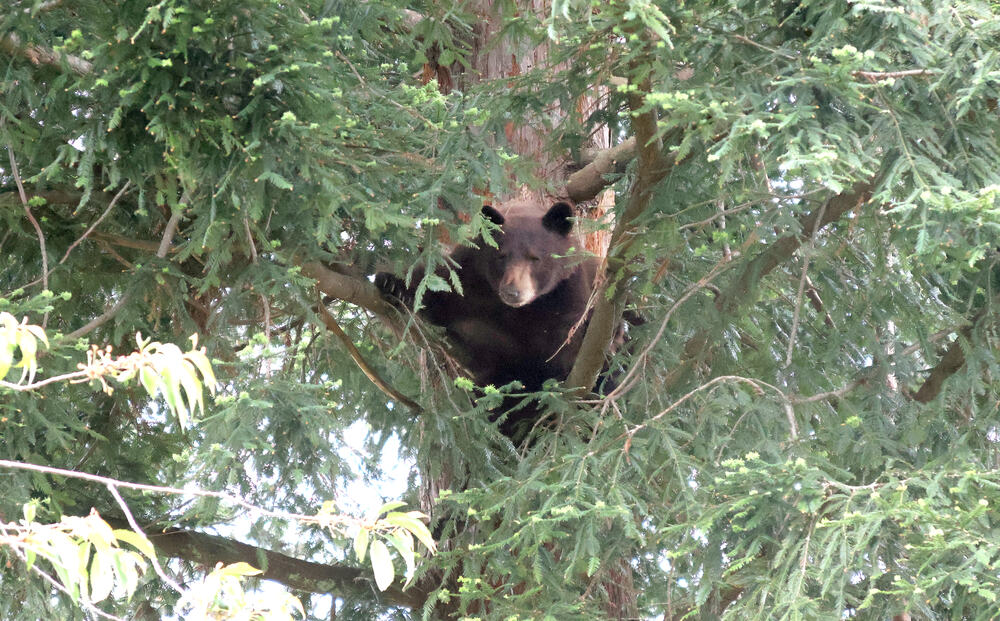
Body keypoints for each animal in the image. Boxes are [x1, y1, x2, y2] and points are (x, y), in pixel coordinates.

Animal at [374, 202, 592, 436]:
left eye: (535, 258)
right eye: (501, 256)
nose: (512, 292)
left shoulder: (567, 296)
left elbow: (563, 346)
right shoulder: (470, 278)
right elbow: (438, 290)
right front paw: (391, 283)